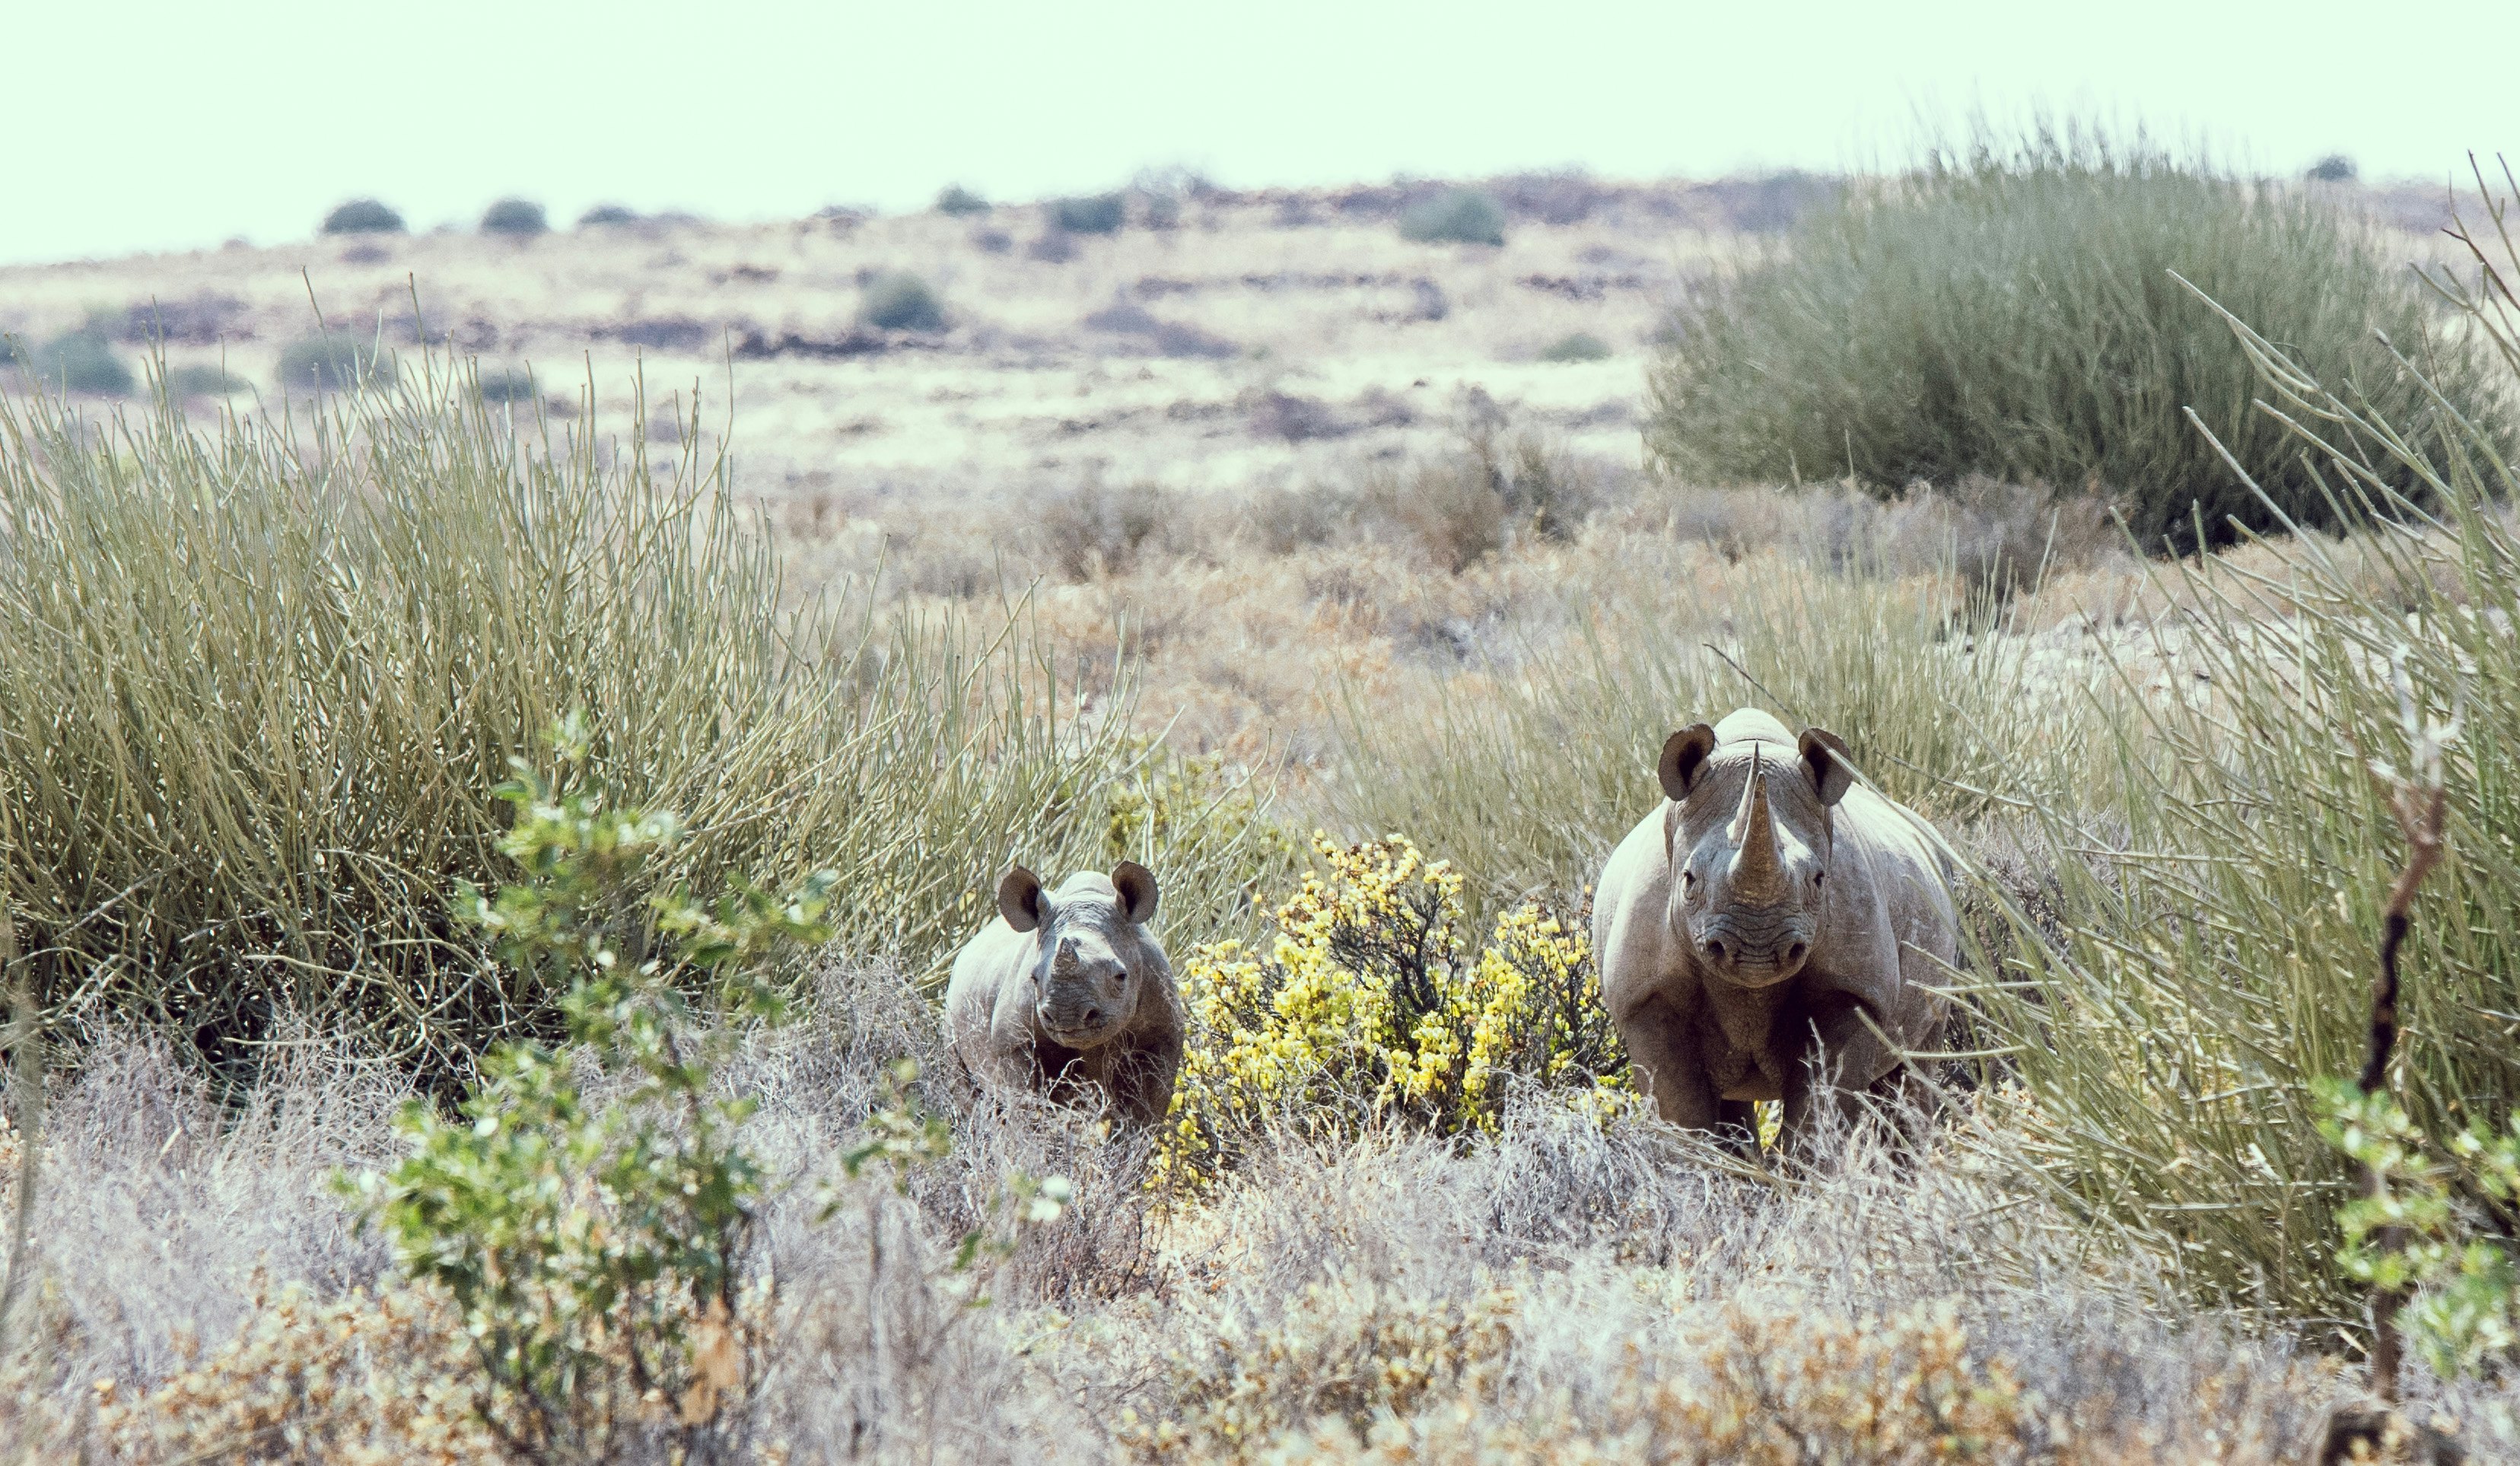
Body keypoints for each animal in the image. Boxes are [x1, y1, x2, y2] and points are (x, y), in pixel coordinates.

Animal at [947, 861, 1179, 1128]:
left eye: (1121, 976)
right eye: (1034, 978)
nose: (1067, 1016)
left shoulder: (1162, 1037)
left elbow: (1143, 1115)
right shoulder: (1014, 1042)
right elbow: (1025, 1108)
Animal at [1592, 710, 1965, 1148]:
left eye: (1819, 881)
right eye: (1688, 880)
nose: (1758, 953)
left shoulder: (1853, 987)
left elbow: (1821, 1112)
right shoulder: (1645, 994)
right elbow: (1682, 1115)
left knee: (1914, 1067)